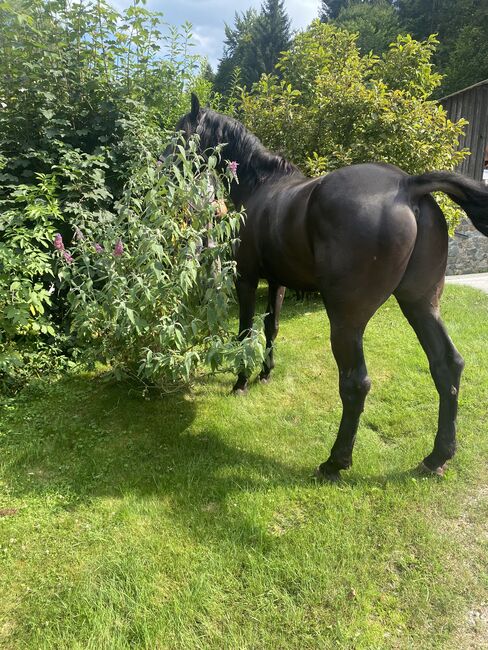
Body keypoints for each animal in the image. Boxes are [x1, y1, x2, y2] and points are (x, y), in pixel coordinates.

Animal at [173, 95, 488, 480]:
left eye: (181, 133)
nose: (163, 166)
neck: (261, 187)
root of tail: (407, 186)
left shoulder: (246, 278)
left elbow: (246, 330)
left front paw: (241, 381)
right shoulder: (277, 281)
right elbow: (271, 327)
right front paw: (265, 373)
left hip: (346, 320)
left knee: (355, 383)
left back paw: (335, 462)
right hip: (421, 304)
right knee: (447, 365)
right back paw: (436, 457)